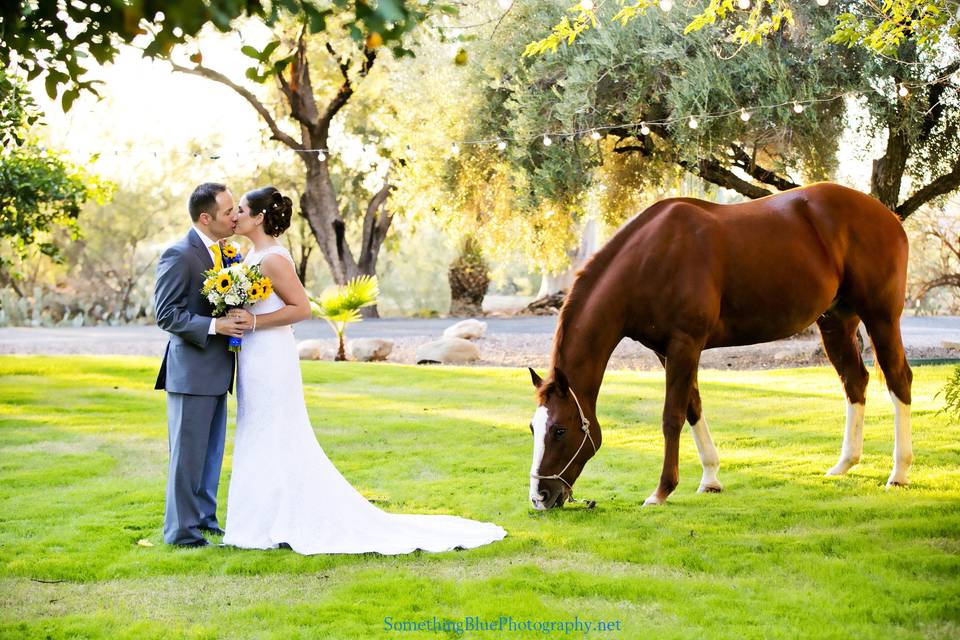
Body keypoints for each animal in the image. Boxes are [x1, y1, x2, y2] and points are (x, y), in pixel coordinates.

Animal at [528, 184, 912, 510]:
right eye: (533, 428)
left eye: (560, 429)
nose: (540, 496)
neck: (650, 258)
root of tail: (888, 217)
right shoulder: (667, 351)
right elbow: (693, 408)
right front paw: (710, 478)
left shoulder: (685, 344)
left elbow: (672, 416)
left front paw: (661, 491)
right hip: (836, 321)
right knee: (855, 381)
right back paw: (844, 464)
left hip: (880, 317)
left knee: (898, 379)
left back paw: (899, 473)